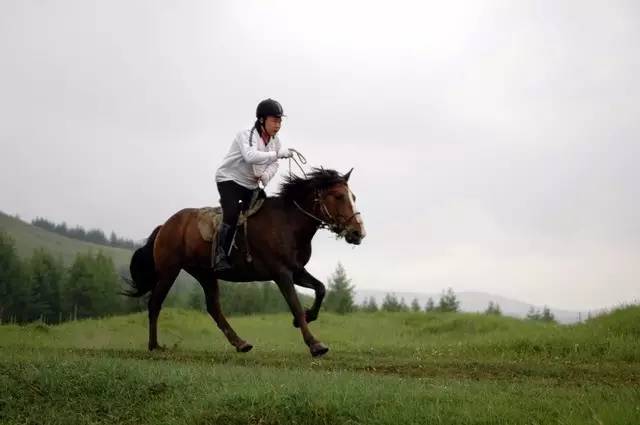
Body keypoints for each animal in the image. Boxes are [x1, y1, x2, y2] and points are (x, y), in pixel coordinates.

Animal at [124, 167, 364, 356]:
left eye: (352, 196)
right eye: (339, 196)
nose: (358, 233)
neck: (289, 222)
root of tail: (165, 225)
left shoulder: (296, 270)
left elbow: (321, 289)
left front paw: (306, 317)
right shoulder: (281, 273)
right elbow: (294, 305)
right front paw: (315, 344)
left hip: (205, 274)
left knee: (213, 308)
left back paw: (240, 343)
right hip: (169, 271)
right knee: (155, 303)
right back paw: (154, 345)